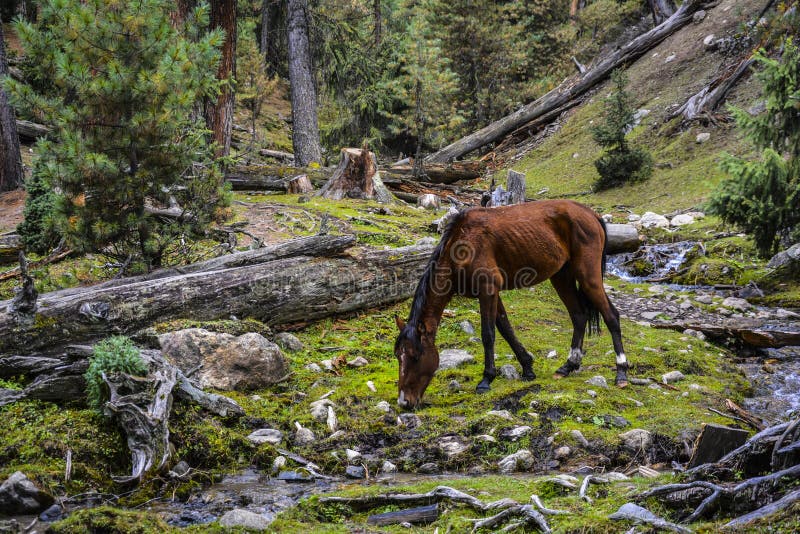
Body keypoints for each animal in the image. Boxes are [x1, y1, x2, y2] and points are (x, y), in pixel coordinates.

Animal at [396, 200, 628, 410]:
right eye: (398, 356)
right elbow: (505, 329)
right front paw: (527, 368)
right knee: (579, 315)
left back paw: (621, 372)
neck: (462, 244)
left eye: (415, 357)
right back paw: (568, 366)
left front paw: (486, 380)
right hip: (562, 276)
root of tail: (591, 214)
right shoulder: (492, 294)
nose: (404, 402)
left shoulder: (488, 290)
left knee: (611, 316)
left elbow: (488, 334)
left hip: (588, 276)